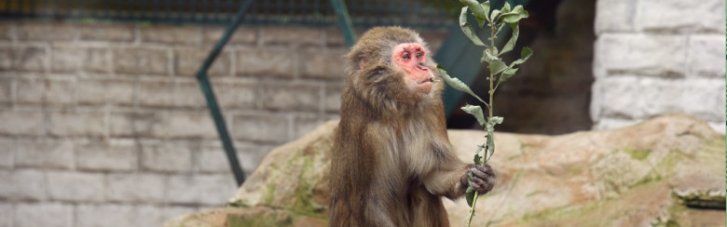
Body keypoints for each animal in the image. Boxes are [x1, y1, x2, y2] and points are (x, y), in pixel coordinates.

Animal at [328, 27, 494, 227]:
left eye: (419, 55)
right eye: (406, 56)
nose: (423, 67)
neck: (396, 107)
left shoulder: (432, 109)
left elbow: (433, 174)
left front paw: (476, 177)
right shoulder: (365, 132)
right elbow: (370, 204)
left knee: (421, 190)